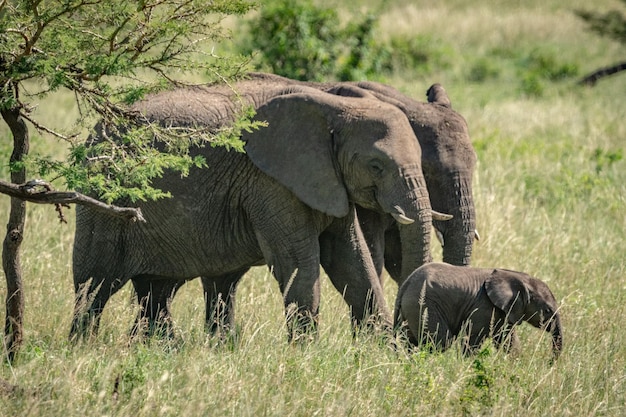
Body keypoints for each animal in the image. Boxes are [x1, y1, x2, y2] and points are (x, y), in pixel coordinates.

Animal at [70, 82, 436, 342]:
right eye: (376, 165)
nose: (408, 341)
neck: (333, 109)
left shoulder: (328, 180)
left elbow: (351, 261)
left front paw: (379, 352)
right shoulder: (270, 182)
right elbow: (298, 263)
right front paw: (306, 356)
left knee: (157, 290)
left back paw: (161, 349)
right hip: (102, 200)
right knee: (94, 282)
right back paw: (83, 347)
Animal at [394, 264, 560, 358]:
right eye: (547, 310)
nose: (550, 363)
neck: (518, 277)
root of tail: (406, 284)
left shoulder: (503, 310)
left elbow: (507, 340)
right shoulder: (484, 306)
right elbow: (473, 337)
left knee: (410, 342)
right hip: (424, 306)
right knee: (441, 342)